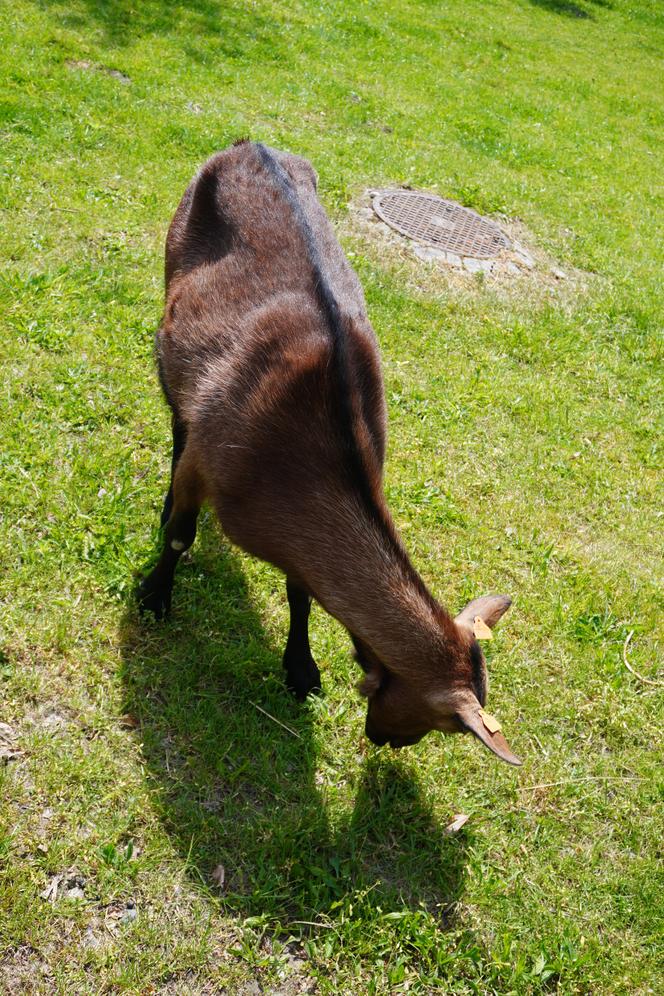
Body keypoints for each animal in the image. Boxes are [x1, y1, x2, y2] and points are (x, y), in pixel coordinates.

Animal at [140, 138, 520, 764]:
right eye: (446, 723)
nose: (386, 740)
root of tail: (249, 143)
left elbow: (302, 592)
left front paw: (301, 670)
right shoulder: (207, 453)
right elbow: (180, 533)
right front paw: (153, 596)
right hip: (170, 297)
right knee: (175, 411)